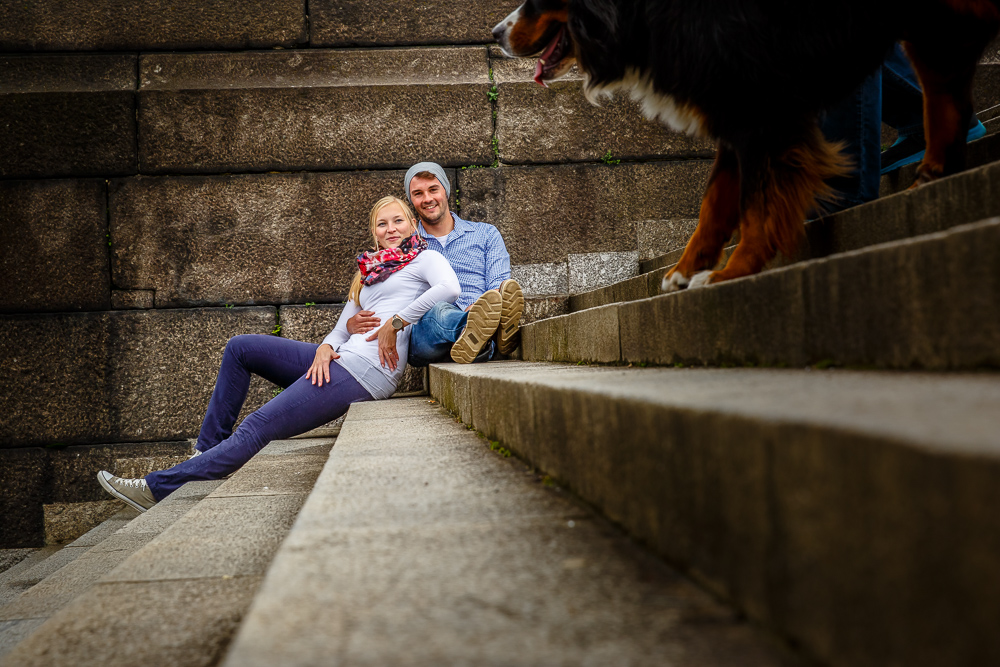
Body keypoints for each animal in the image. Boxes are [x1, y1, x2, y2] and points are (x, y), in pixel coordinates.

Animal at [492, 1, 1000, 290]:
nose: (494, 35)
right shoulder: (735, 107)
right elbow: (716, 203)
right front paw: (687, 268)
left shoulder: (761, 109)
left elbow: (758, 204)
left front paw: (731, 271)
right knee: (946, 92)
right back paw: (934, 170)